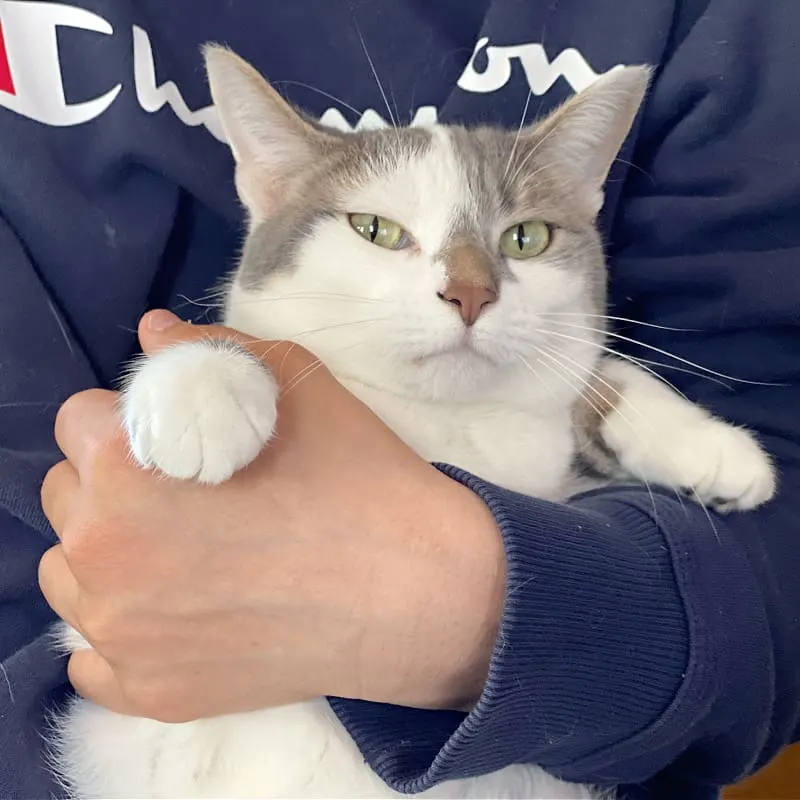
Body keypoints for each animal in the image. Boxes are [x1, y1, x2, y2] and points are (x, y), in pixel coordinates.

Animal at [48, 47, 776, 796]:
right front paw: (202, 381)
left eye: (527, 237)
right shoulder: (106, 677)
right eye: (376, 230)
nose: (471, 292)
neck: (445, 423)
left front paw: (711, 446)